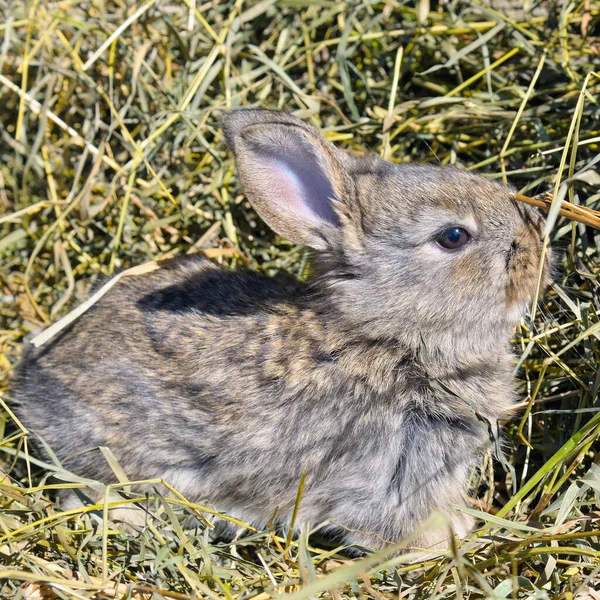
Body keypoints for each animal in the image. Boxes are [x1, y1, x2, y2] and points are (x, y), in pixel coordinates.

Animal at [11, 110, 552, 552]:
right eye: (453, 236)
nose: (539, 244)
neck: (389, 336)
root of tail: (29, 378)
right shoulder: (386, 476)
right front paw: (447, 543)